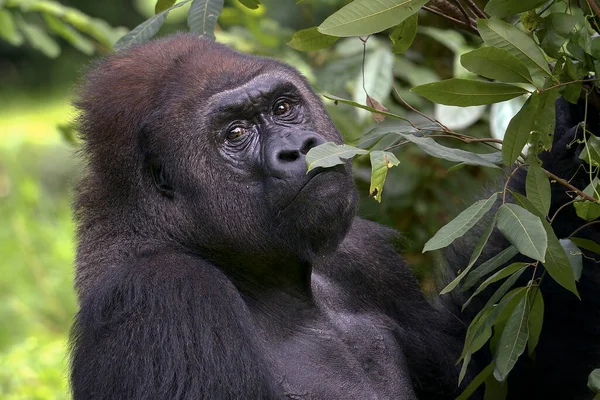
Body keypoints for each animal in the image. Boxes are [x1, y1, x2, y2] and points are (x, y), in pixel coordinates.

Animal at [70, 32, 600, 398]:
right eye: (235, 132)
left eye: (284, 107)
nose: (298, 148)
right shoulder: (165, 297)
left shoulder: (364, 259)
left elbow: (481, 377)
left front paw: (570, 146)